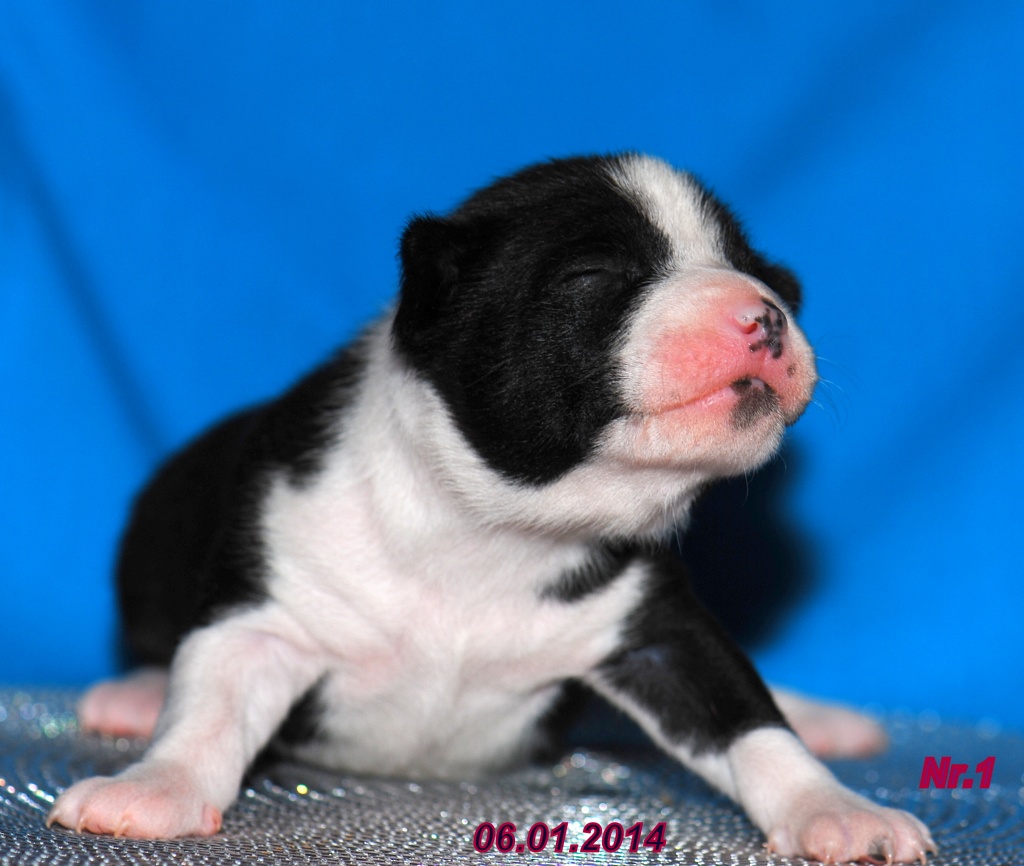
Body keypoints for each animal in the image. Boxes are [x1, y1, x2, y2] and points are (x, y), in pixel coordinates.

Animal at [49, 154, 934, 862]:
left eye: (765, 276)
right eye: (592, 278)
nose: (765, 313)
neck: (500, 526)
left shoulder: (659, 636)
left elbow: (750, 719)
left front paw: (836, 807)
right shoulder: (266, 613)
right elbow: (209, 705)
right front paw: (155, 785)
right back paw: (137, 694)